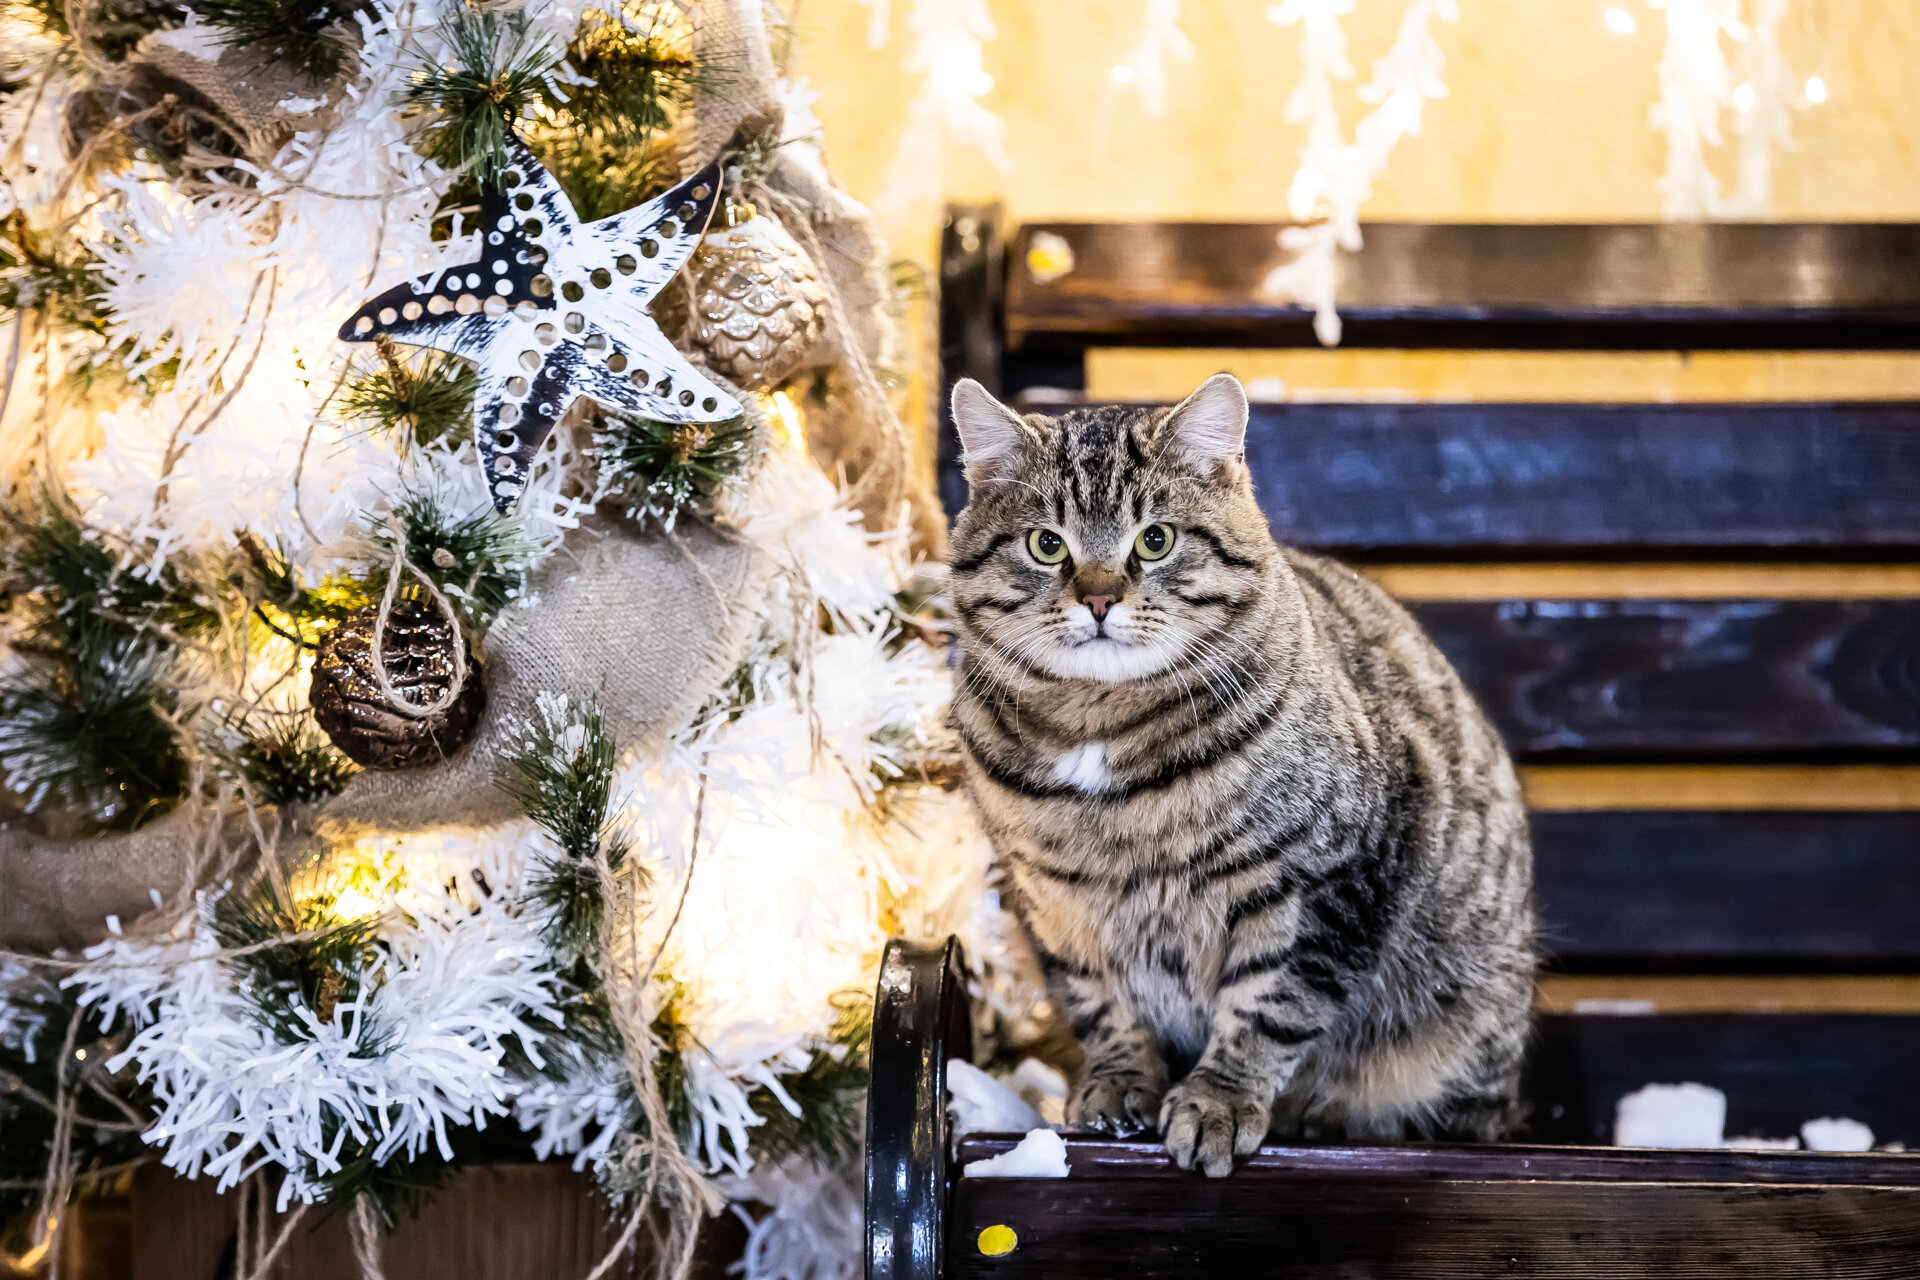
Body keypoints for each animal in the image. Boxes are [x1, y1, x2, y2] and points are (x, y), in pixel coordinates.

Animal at [944, 376, 1528, 1174]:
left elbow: (1269, 1003)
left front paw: (1217, 1102)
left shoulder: (1323, 879)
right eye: (1046, 543)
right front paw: (1118, 1083)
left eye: (1155, 539)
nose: (1098, 598)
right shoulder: (1055, 902)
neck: (1097, 730)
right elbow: (1103, 1001)